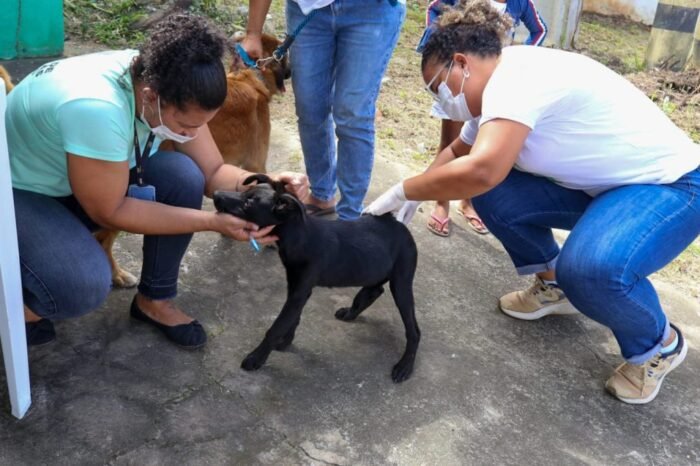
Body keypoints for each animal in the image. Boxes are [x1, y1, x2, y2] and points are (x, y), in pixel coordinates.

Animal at [213, 175, 422, 382]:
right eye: (243, 192)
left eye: (248, 203)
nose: (215, 194)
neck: (300, 236)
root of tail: (401, 226)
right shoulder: (296, 287)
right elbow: (293, 318)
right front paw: (286, 341)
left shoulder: (300, 291)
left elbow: (277, 326)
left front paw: (256, 358)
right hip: (373, 268)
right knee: (374, 290)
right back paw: (350, 313)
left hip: (401, 282)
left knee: (414, 331)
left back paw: (405, 366)